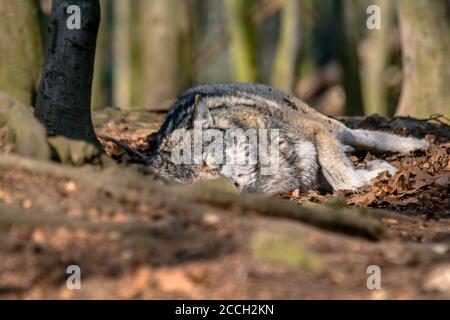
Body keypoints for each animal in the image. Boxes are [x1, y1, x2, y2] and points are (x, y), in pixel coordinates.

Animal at [147, 82, 428, 194]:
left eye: (207, 162)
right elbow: (344, 181)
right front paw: (375, 170)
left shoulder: (316, 131)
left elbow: (344, 178)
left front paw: (379, 171)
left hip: (326, 123)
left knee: (364, 135)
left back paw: (418, 144)